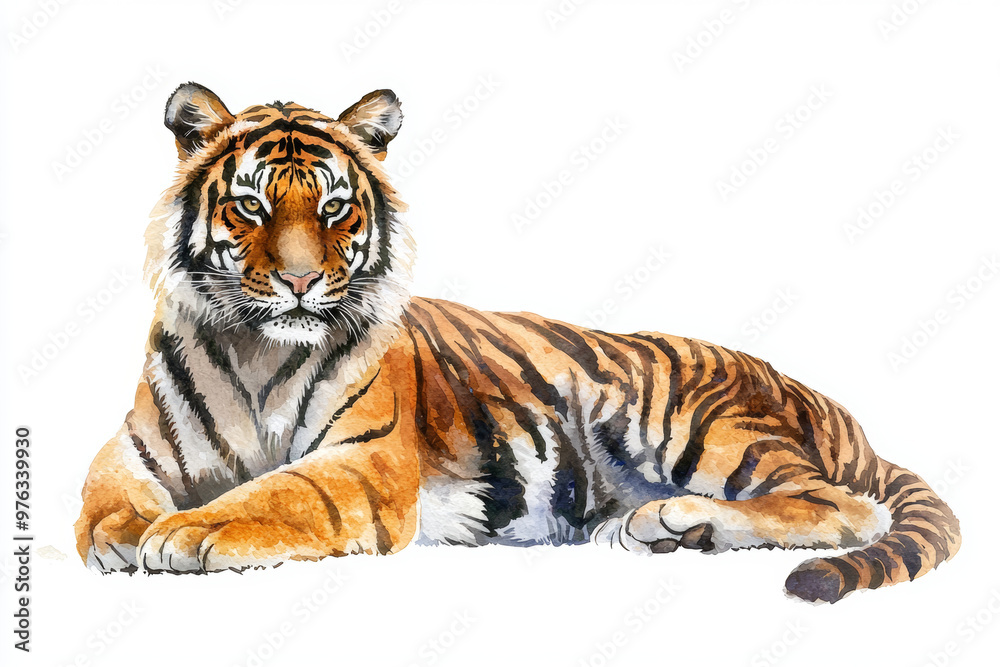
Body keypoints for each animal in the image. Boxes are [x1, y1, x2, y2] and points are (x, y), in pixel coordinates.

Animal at [74, 82, 960, 604]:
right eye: (252, 207)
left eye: (332, 209)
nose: (298, 282)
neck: (260, 350)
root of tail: (832, 405)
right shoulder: (133, 448)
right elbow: (102, 500)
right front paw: (127, 532)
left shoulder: (362, 463)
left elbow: (275, 493)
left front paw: (186, 532)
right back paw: (665, 530)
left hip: (690, 421)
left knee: (846, 506)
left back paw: (674, 517)